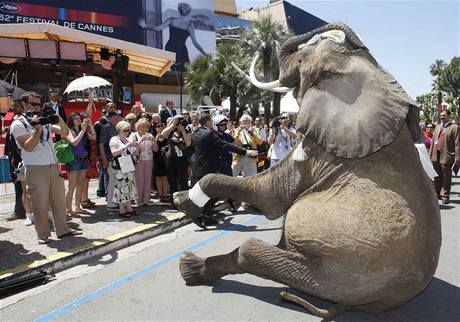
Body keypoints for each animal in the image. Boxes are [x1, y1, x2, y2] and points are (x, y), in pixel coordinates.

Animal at [172, 23, 442, 316]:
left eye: (301, 60)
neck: (370, 69)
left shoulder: (319, 148)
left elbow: (269, 196)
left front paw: (182, 202)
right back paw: (191, 267)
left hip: (341, 269)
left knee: (251, 251)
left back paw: (190, 268)